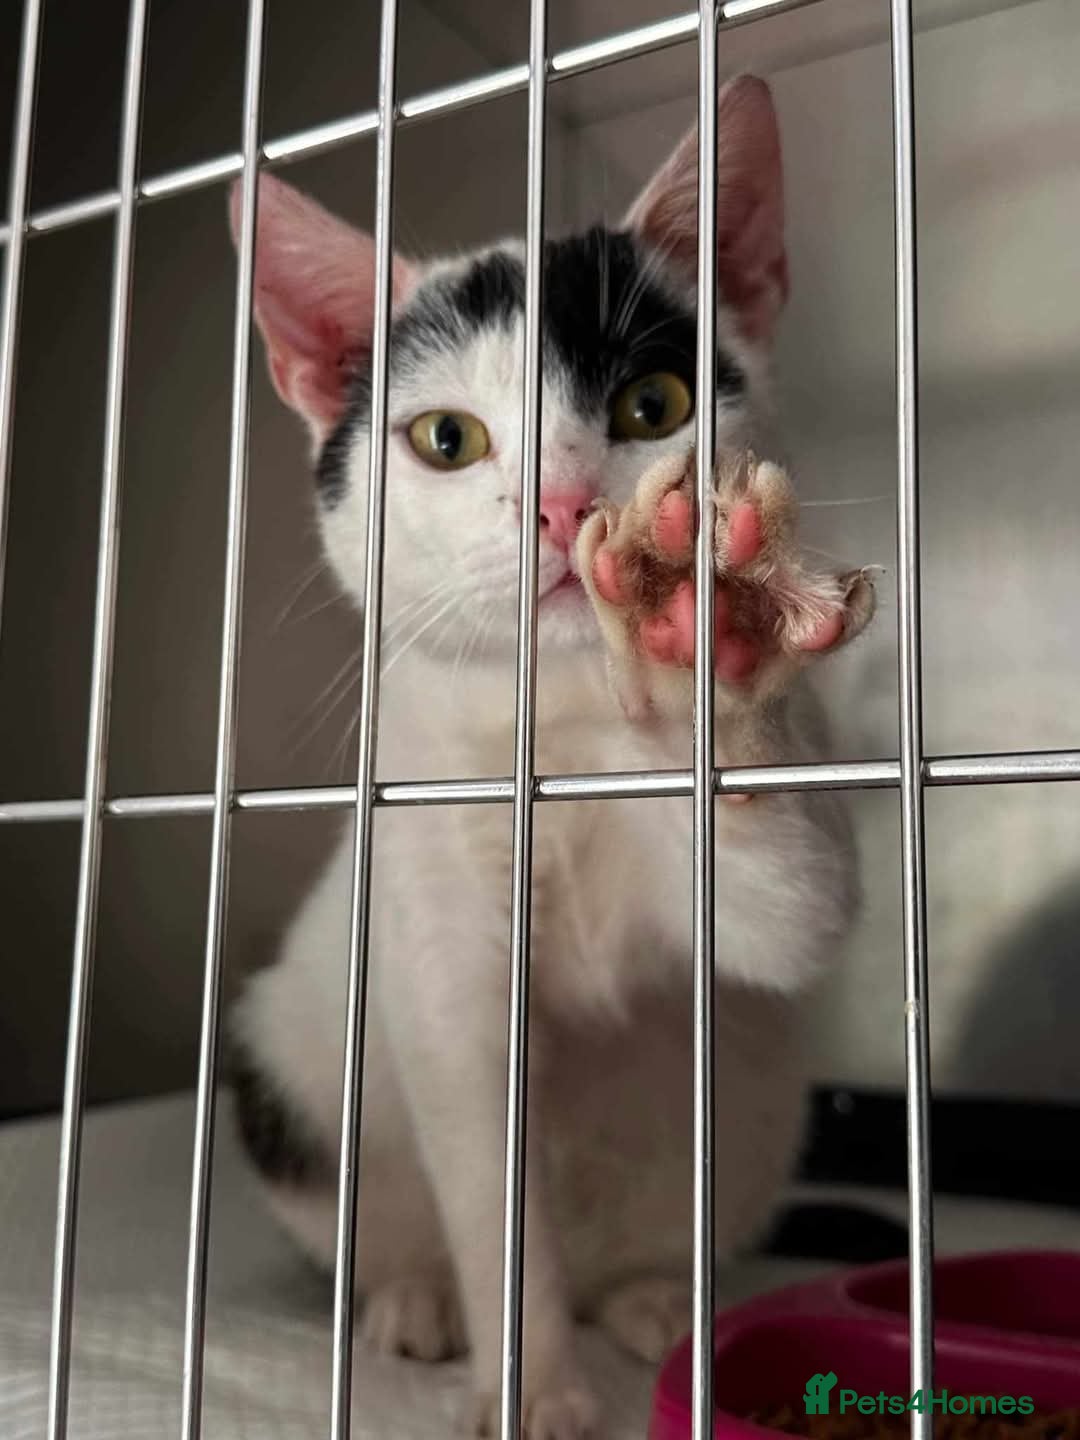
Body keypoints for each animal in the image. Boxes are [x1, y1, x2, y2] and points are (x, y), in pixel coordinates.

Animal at [227, 74, 874, 1439]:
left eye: (651, 408)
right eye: (447, 439)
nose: (568, 507)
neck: (564, 736)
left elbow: (794, 920)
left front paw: (714, 646)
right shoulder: (432, 910)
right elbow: (485, 1165)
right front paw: (526, 1388)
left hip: (755, 1104)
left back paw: (654, 1301)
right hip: (288, 1072)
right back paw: (415, 1304)